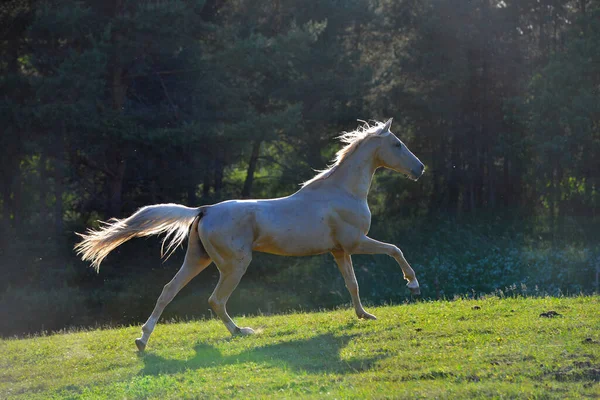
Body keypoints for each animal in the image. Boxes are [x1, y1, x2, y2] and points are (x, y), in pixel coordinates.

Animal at [75, 119, 424, 350]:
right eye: (397, 144)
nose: (419, 168)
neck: (342, 192)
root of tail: (204, 210)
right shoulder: (356, 243)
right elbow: (395, 249)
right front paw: (413, 285)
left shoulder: (340, 250)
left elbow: (352, 283)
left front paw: (365, 316)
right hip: (235, 264)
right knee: (215, 300)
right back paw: (241, 332)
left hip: (197, 260)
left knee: (167, 291)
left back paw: (142, 340)